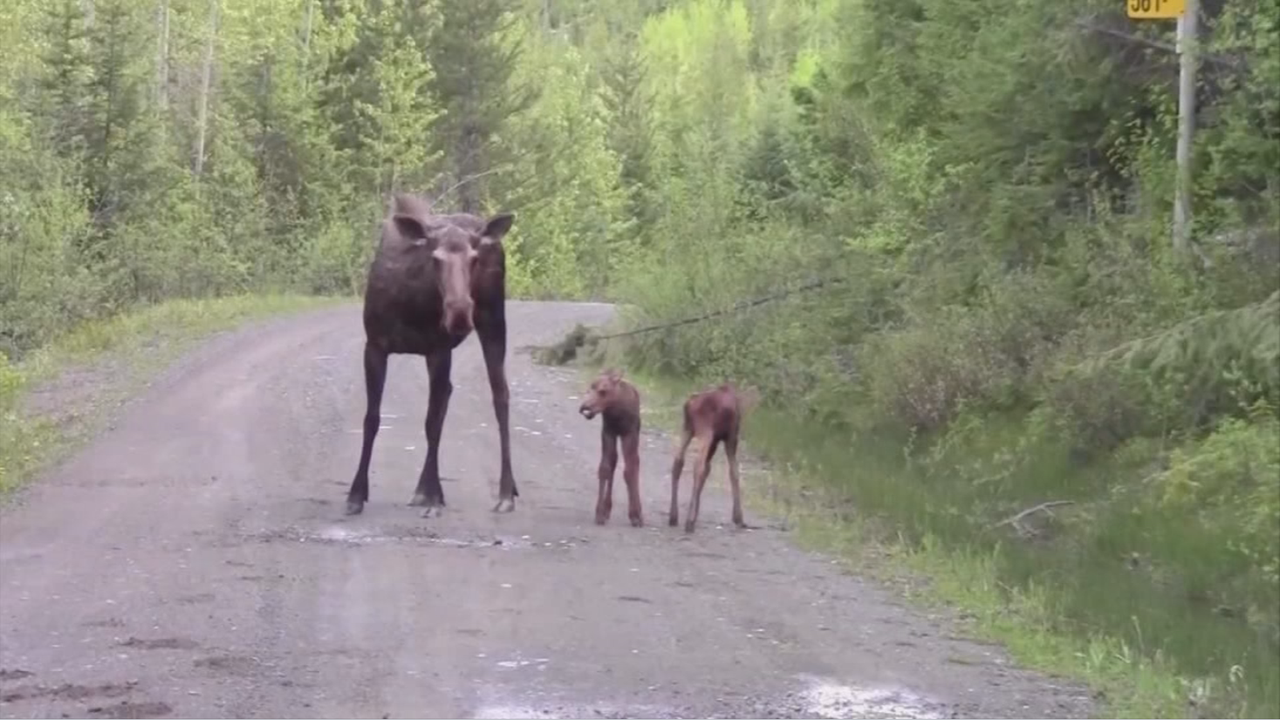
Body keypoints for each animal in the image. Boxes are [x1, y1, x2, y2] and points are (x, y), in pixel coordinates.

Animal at [345, 192, 519, 515]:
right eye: (435, 259)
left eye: (474, 258)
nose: (460, 313)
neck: (413, 304)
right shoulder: (374, 346)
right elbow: (371, 419)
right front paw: (356, 494)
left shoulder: (438, 349)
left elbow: (431, 423)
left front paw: (434, 495)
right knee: (450, 394)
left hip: (493, 321)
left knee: (499, 394)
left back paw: (505, 493)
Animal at [578, 366, 645, 525]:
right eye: (590, 388)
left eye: (603, 391)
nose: (585, 407)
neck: (617, 414)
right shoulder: (608, 432)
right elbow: (605, 468)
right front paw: (600, 512)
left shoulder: (629, 434)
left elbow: (629, 471)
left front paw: (635, 514)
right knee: (614, 462)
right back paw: (607, 508)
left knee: (635, 463)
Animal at [670, 384, 757, 530]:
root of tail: (689, 403)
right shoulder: (731, 437)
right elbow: (733, 471)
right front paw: (738, 518)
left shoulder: (716, 440)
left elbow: (708, 468)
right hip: (706, 430)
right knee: (698, 464)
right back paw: (689, 521)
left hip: (688, 428)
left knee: (678, 460)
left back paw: (673, 517)